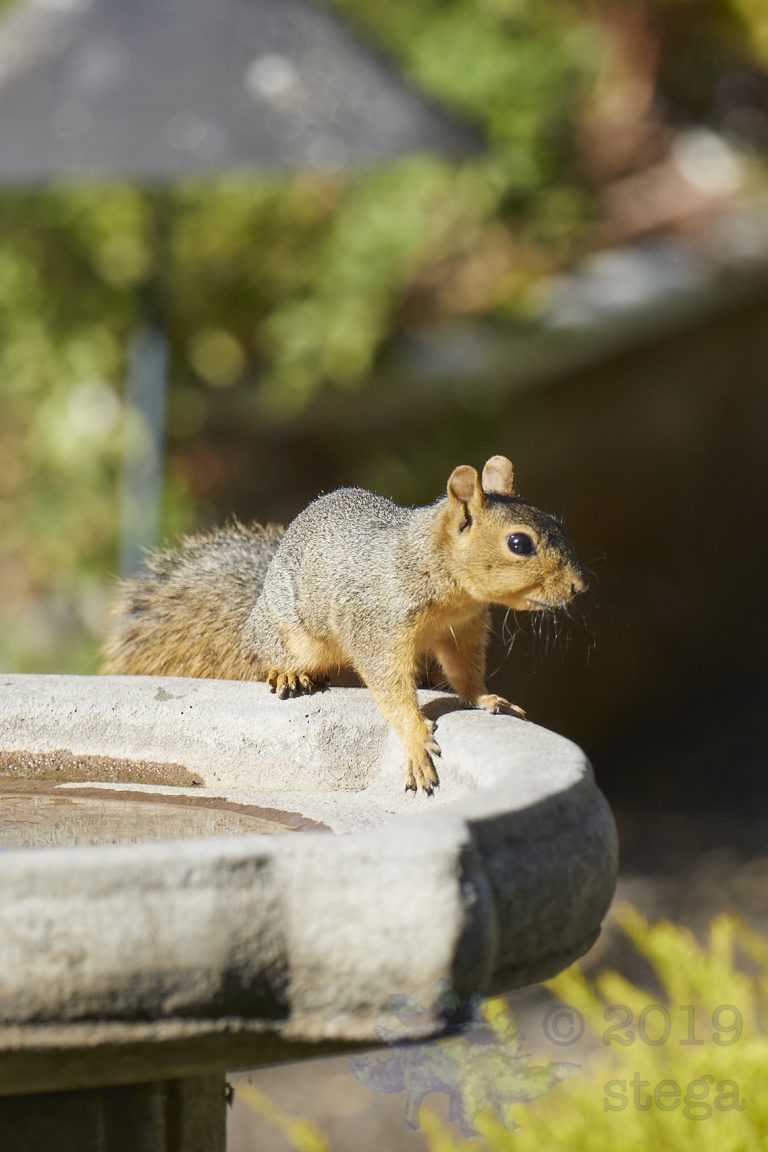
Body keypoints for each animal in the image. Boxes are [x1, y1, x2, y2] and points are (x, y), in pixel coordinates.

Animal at [103, 455, 588, 794]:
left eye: (558, 523)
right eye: (519, 543)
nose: (579, 586)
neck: (440, 577)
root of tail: (255, 609)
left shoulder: (462, 631)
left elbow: (464, 672)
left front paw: (485, 698)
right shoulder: (377, 627)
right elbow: (391, 688)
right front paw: (416, 741)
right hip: (290, 635)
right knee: (266, 655)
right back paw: (287, 673)